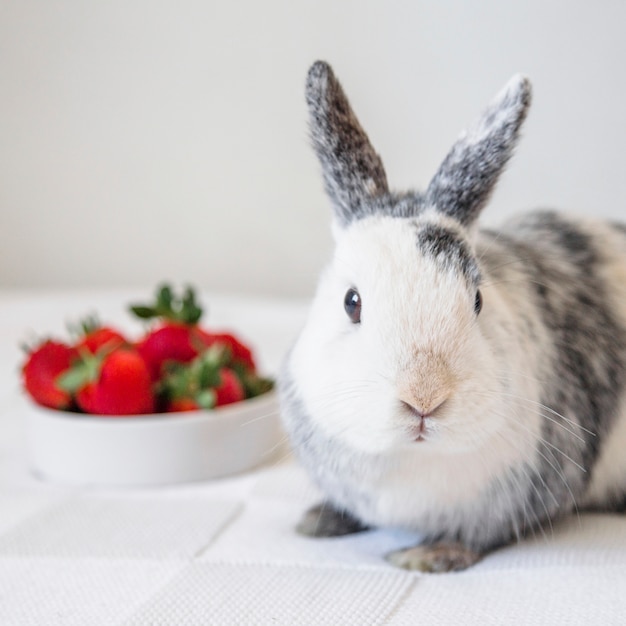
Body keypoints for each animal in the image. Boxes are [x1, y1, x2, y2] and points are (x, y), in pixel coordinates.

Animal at [280, 61, 626, 572]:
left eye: (478, 299)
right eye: (351, 302)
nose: (424, 397)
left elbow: (475, 537)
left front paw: (427, 556)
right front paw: (319, 520)